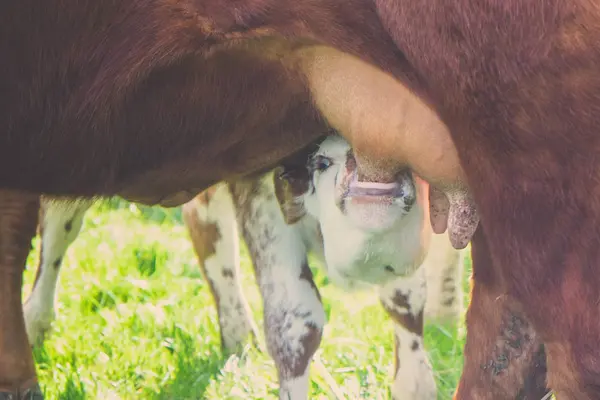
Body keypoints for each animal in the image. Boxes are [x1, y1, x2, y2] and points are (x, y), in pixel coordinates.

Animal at [23, 136, 466, 398]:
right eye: (322, 161)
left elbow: (405, 300)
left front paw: (416, 384)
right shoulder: (260, 185)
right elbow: (295, 322)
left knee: (205, 226)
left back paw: (238, 337)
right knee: (59, 229)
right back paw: (33, 323)